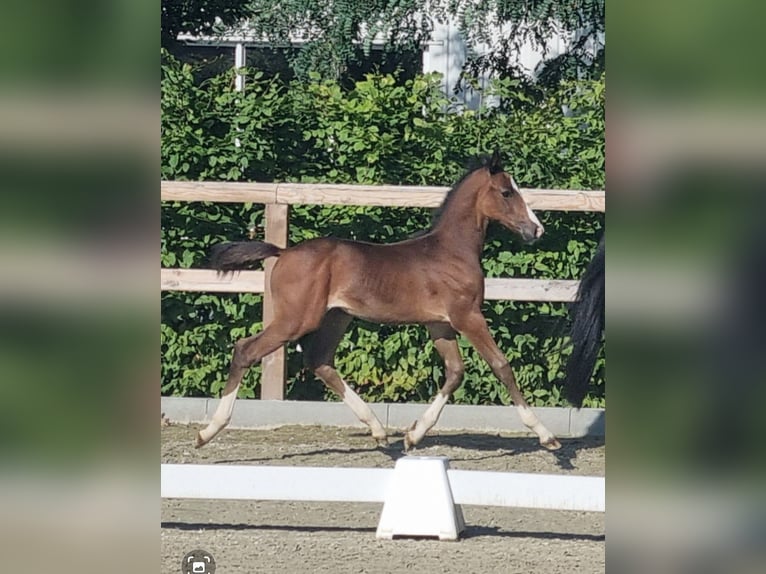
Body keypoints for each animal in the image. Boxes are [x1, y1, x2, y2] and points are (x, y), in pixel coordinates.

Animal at [196, 153, 564, 454]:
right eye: (506, 192)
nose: (536, 230)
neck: (451, 251)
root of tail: (282, 252)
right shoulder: (467, 316)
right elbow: (501, 365)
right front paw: (546, 436)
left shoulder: (439, 323)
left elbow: (455, 372)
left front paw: (413, 435)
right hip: (296, 320)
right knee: (246, 350)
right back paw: (208, 431)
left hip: (336, 318)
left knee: (320, 361)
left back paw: (378, 430)